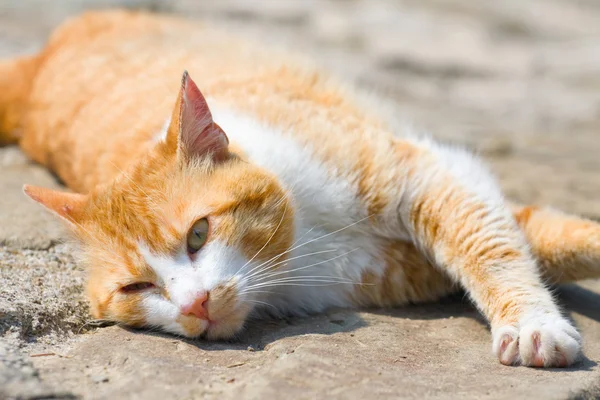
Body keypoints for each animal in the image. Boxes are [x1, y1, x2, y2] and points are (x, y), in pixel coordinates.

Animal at [2, 9, 596, 368]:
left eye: (198, 234)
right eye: (136, 288)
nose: (195, 304)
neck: (303, 239)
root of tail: (40, 61)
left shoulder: (433, 178)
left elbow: (496, 249)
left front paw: (532, 323)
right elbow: (533, 242)